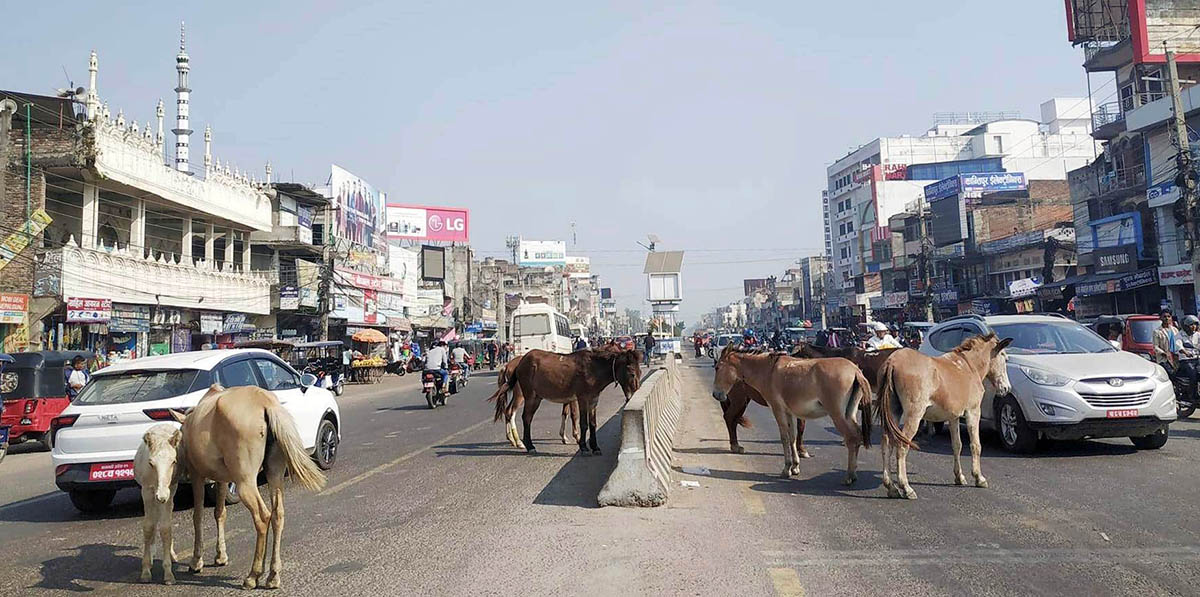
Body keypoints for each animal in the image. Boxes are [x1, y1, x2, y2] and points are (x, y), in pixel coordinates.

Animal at [135, 424, 181, 582]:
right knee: (153, 521)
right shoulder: (147, 492)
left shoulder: (169, 490)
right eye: (151, 463)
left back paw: (172, 555)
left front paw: (168, 573)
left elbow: (166, 528)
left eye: (173, 462)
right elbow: (148, 527)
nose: (161, 495)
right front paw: (145, 571)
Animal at [171, 383, 326, 589]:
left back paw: (254, 575)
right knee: (277, 514)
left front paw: (197, 560)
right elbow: (220, 513)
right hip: (274, 472)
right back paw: (273, 575)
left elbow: (198, 516)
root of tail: (266, 404)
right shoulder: (222, 479)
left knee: (262, 517)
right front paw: (221, 556)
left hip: (245, 480)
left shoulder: (197, 475)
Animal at [487, 347, 643, 455]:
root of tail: (520, 362)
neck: (593, 369)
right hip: (529, 395)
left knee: (524, 417)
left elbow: (593, 423)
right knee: (525, 417)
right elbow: (583, 423)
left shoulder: (593, 399)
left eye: (640, 372)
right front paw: (583, 446)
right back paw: (528, 445)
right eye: (632, 373)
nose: (633, 395)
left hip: (537, 397)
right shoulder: (582, 398)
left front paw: (595, 447)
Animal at [710, 347, 873, 481]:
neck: (768, 371)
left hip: (838, 415)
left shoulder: (778, 409)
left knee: (852, 438)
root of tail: (855, 371)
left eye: (717, 367)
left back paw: (850, 476)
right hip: (849, 414)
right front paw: (795, 466)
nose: (716, 394)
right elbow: (793, 437)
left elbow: (784, 438)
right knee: (857, 436)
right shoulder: (789, 412)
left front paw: (787, 468)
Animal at [873, 333, 1012, 501]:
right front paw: (979, 478)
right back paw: (906, 487)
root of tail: (892, 362)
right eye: (1004, 357)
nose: (1006, 388)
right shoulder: (973, 412)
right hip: (914, 415)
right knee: (902, 445)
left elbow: (957, 445)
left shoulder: (953, 417)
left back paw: (891, 487)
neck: (969, 367)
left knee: (886, 443)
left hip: (893, 412)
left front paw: (959, 477)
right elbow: (975, 445)